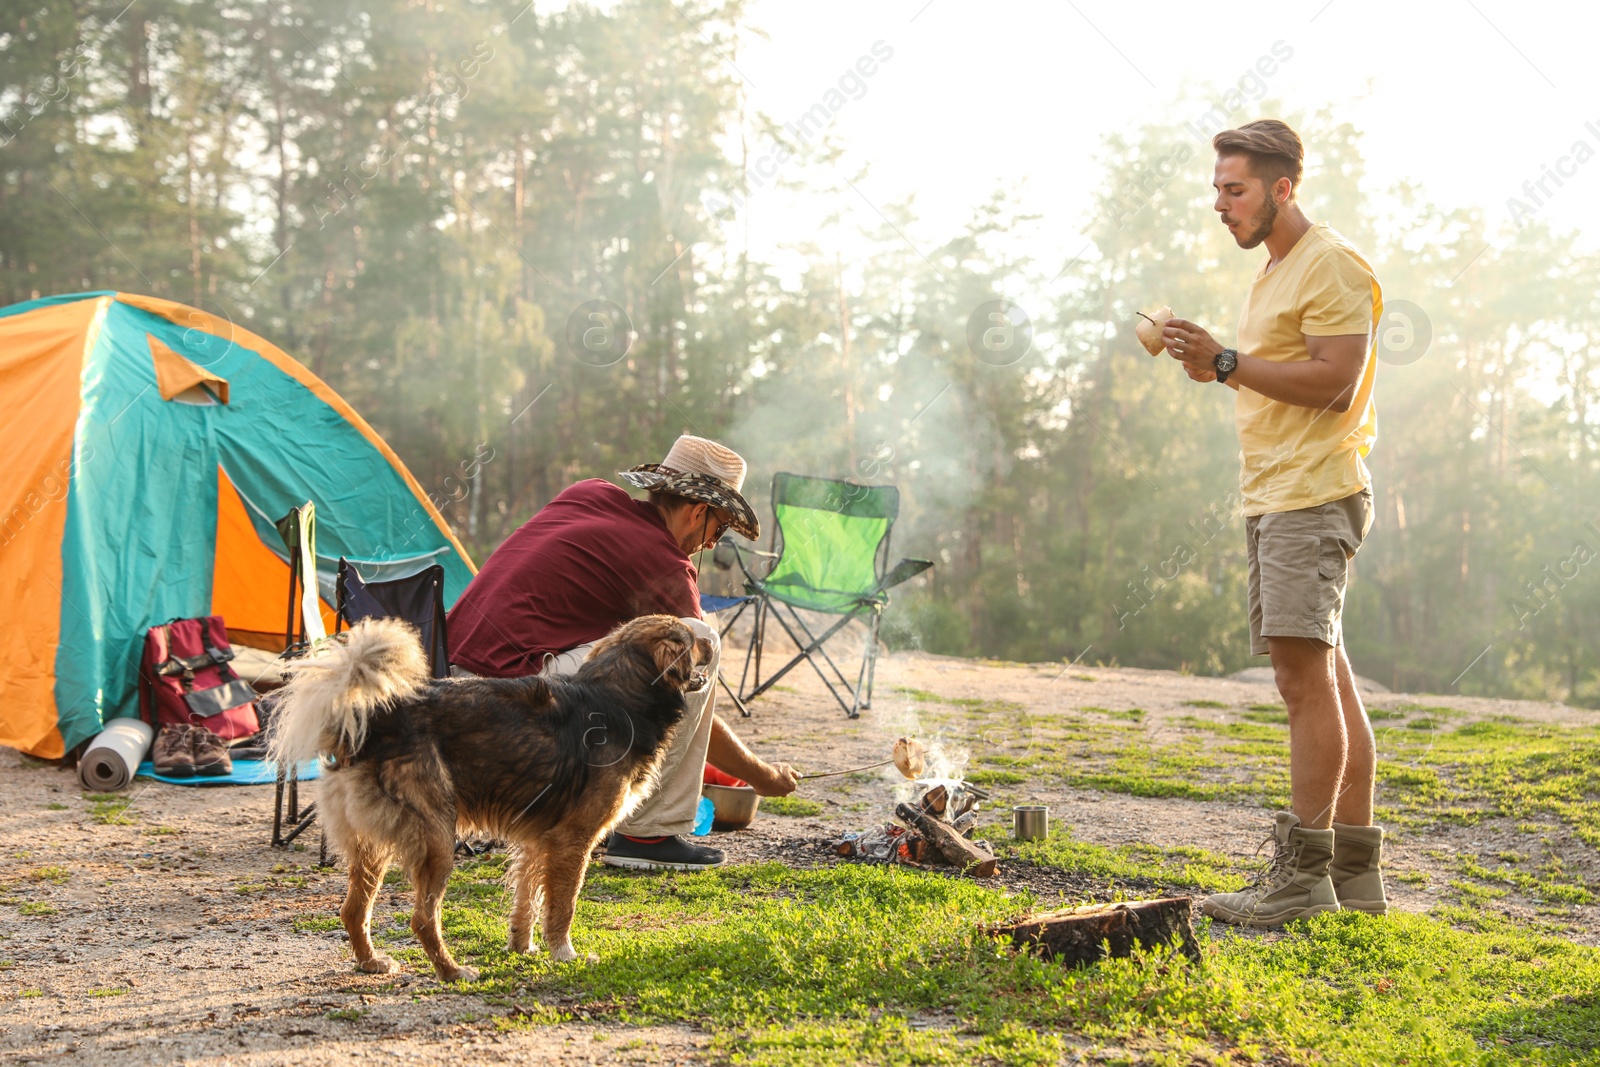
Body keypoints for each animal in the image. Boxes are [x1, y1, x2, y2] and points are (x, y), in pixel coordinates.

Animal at [268, 614, 713, 979]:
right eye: (691, 638)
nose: (711, 637)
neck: (621, 696)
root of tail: (373, 719)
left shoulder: (539, 841)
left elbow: (528, 901)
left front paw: (522, 947)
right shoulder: (573, 841)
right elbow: (563, 906)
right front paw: (564, 954)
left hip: (373, 846)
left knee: (352, 910)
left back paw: (371, 962)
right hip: (438, 840)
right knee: (421, 919)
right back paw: (451, 971)